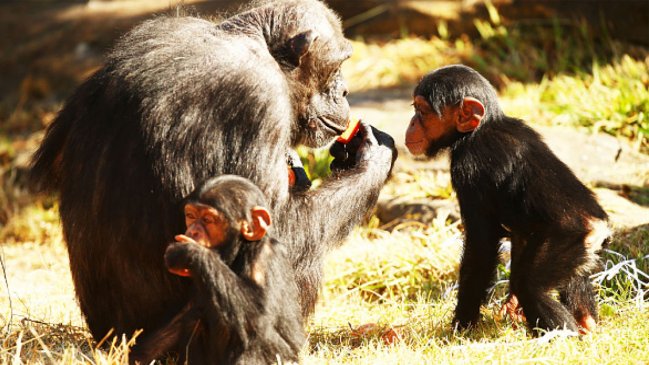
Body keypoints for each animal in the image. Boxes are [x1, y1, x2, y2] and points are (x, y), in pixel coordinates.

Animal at [29, 0, 394, 342]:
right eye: (338, 65)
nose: (344, 90)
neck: (253, 43)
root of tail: (112, 338)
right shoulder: (259, 97)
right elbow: (276, 229)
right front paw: (371, 157)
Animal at [133, 175, 306, 362]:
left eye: (208, 220)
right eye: (191, 216)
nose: (192, 231)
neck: (238, 252)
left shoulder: (265, 255)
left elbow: (259, 316)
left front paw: (188, 251)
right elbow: (181, 319)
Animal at [402, 64, 612, 332]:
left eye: (423, 111)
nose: (412, 122)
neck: (478, 130)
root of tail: (600, 227)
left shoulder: (468, 168)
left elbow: (480, 247)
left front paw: (461, 326)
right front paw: (510, 306)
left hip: (569, 240)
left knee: (530, 286)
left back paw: (562, 336)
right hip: (583, 249)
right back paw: (587, 324)